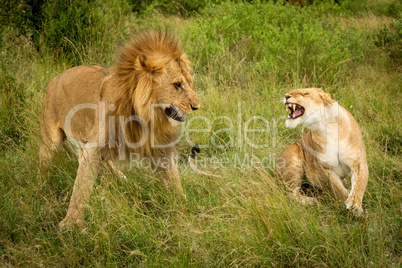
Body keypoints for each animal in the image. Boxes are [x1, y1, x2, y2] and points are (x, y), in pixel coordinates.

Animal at [40, 31, 200, 228]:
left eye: (190, 83)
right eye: (177, 84)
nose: (196, 106)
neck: (145, 115)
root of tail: (54, 79)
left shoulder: (159, 147)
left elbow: (173, 179)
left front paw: (186, 207)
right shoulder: (96, 145)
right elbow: (81, 187)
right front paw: (69, 224)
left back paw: (121, 178)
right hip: (52, 139)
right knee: (44, 160)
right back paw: (41, 186)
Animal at [278, 88, 370, 216]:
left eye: (305, 93)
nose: (286, 96)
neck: (326, 125)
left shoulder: (358, 162)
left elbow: (359, 184)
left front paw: (354, 205)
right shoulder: (326, 167)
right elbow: (339, 189)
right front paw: (350, 206)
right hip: (293, 155)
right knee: (290, 194)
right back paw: (312, 201)